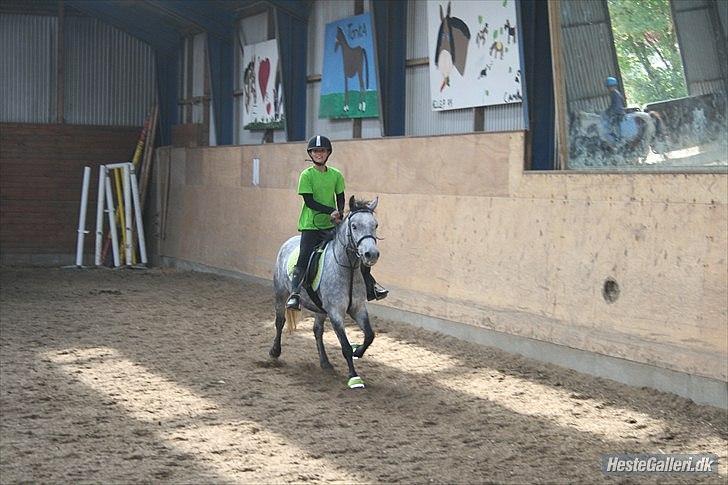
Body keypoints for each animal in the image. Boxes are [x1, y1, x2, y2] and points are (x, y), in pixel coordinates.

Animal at [269, 196, 380, 389]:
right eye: (354, 226)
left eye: (375, 225)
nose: (371, 254)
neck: (348, 269)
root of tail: (289, 241)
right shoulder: (335, 312)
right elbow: (345, 346)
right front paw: (354, 377)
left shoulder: (358, 308)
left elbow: (369, 335)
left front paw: (358, 351)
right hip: (281, 294)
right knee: (280, 322)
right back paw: (275, 351)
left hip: (320, 309)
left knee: (317, 330)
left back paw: (325, 362)